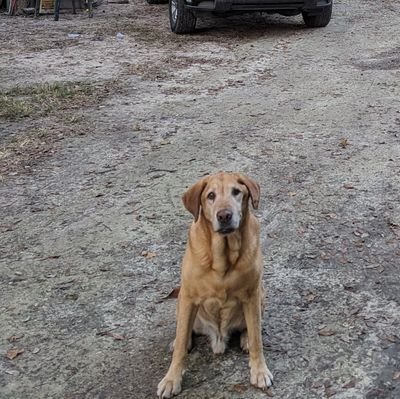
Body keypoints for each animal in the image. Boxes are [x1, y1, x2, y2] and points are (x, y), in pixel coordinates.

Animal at [158, 173, 274, 398]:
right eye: (210, 195)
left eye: (236, 192)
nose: (224, 215)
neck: (223, 256)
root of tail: (218, 337)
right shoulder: (188, 297)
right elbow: (180, 347)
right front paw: (171, 379)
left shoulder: (252, 294)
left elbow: (257, 338)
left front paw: (259, 370)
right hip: (182, 300)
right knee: (184, 331)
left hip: (261, 294)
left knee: (251, 327)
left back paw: (245, 338)